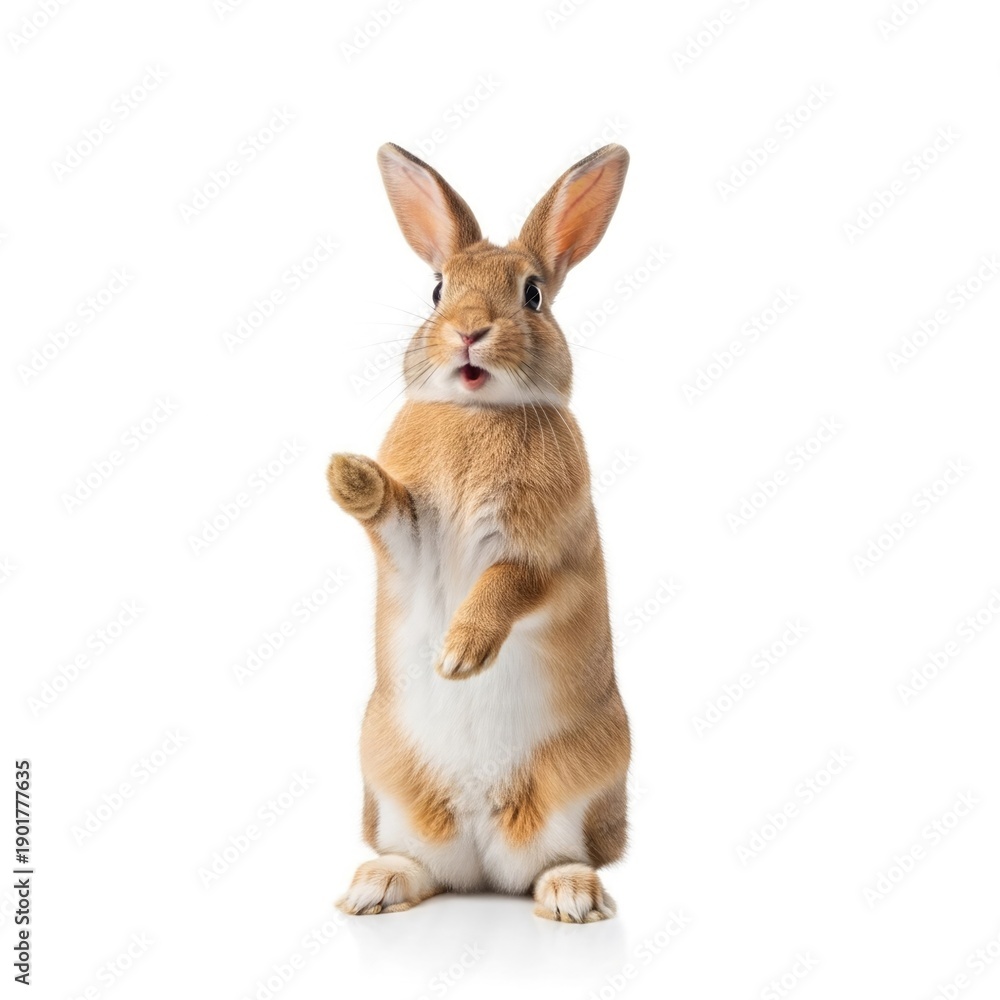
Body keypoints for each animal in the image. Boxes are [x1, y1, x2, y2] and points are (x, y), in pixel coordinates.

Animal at [328, 141, 631, 923]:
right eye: (438, 289)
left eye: (533, 294)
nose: (469, 330)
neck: (479, 413)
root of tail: (483, 848)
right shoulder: (412, 541)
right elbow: (393, 517)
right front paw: (349, 475)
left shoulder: (552, 556)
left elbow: (507, 584)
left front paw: (461, 654)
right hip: (393, 786)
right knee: (424, 866)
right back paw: (374, 887)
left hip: (577, 785)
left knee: (555, 861)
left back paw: (573, 898)